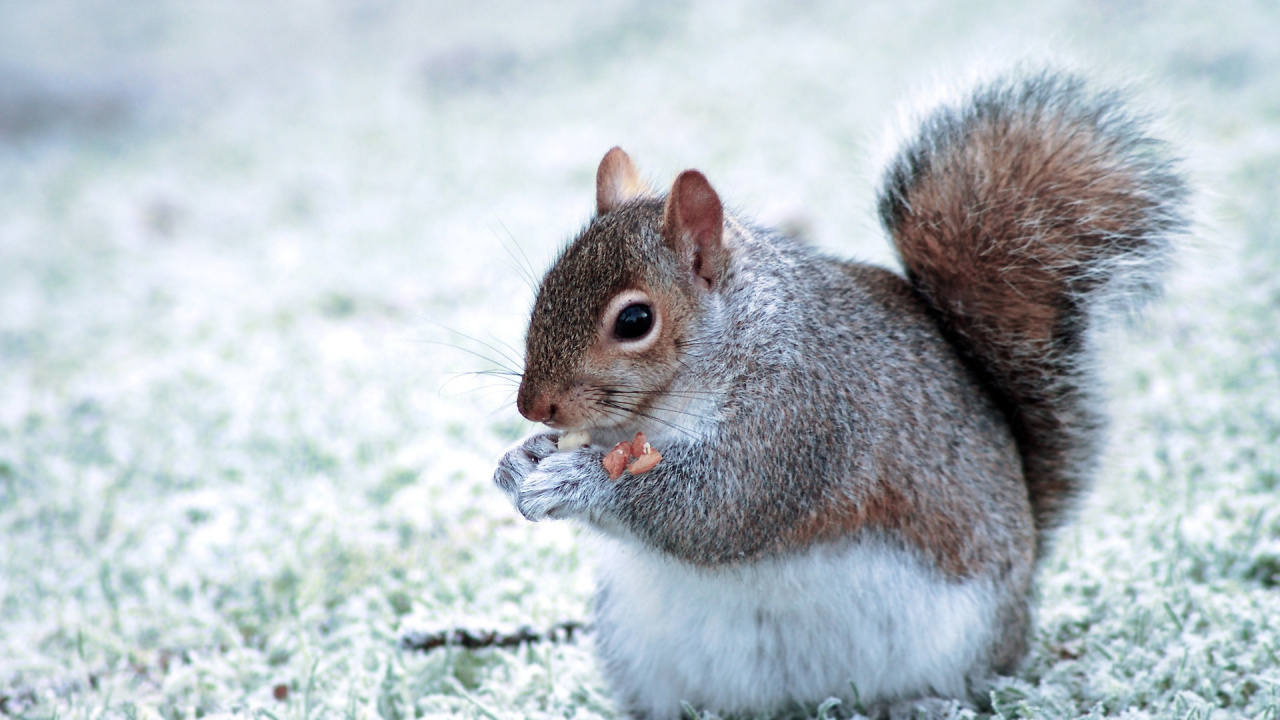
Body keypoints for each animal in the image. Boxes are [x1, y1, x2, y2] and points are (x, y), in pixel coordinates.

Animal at [492, 70, 1187, 719]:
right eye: (544, 287)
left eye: (635, 321)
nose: (533, 406)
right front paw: (521, 460)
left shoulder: (805, 417)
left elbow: (715, 510)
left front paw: (578, 478)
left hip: (961, 638)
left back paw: (923, 703)